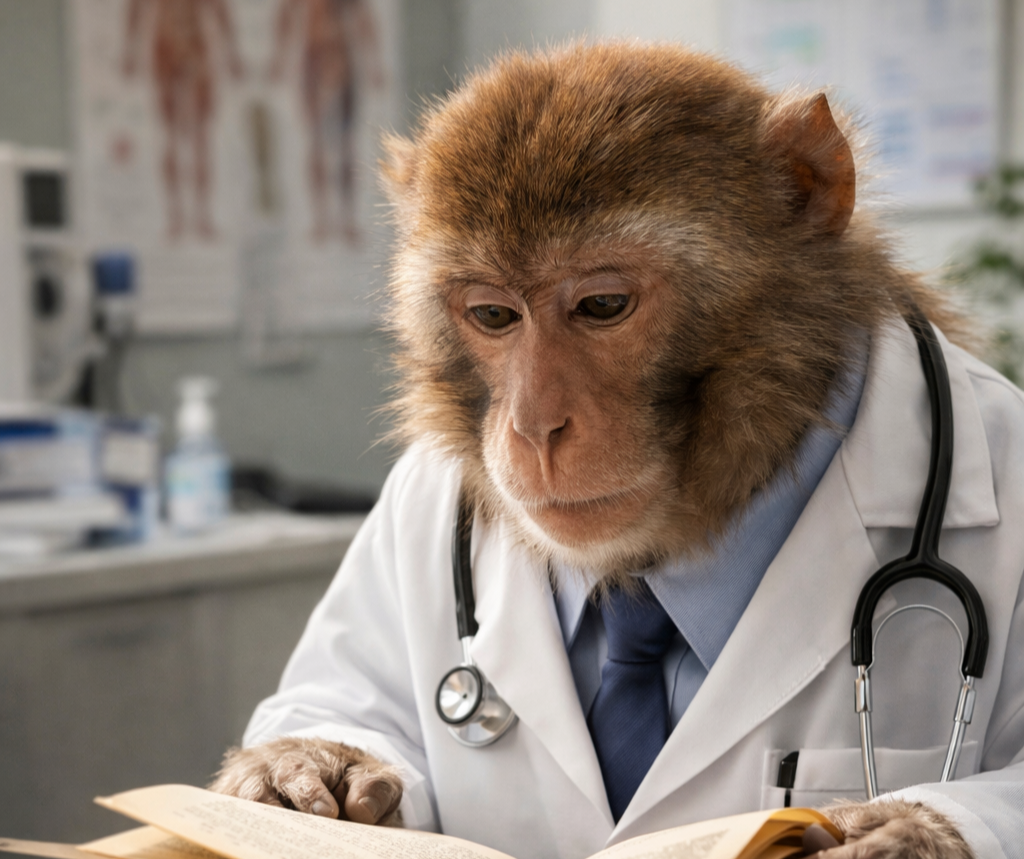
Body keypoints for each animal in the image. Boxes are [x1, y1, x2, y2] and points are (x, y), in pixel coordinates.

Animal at [210, 43, 1024, 859]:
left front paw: (906, 828)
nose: (535, 425)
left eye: (602, 306)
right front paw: (303, 769)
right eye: (494, 315)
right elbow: (337, 697)